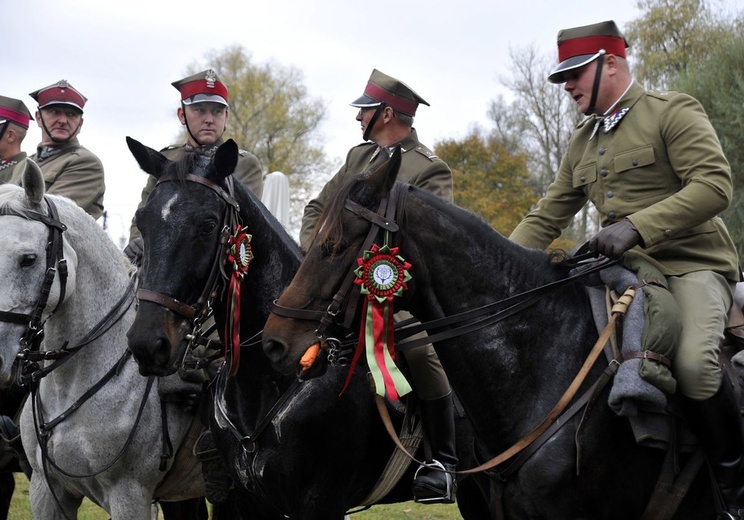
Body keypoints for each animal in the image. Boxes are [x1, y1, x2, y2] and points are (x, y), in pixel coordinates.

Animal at [125, 138, 492, 520]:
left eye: (208, 225)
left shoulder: (321, 502)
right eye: (142, 222)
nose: (148, 343)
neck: (266, 377)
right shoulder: (247, 502)